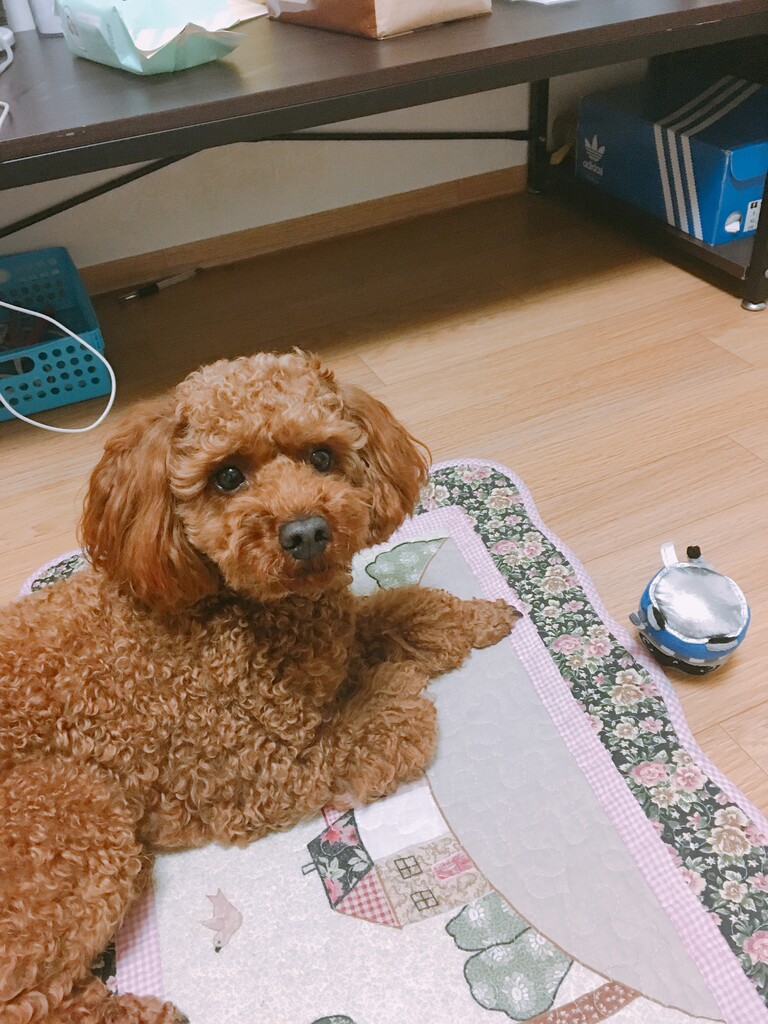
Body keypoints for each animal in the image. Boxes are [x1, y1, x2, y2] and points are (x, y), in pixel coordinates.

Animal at [0, 351, 519, 1023]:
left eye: (322, 456)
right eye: (226, 476)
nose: (307, 533)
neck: (240, 607)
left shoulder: (336, 639)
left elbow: (401, 610)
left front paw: (480, 617)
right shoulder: (265, 770)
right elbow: (395, 711)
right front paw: (395, 681)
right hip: (71, 810)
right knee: (30, 999)